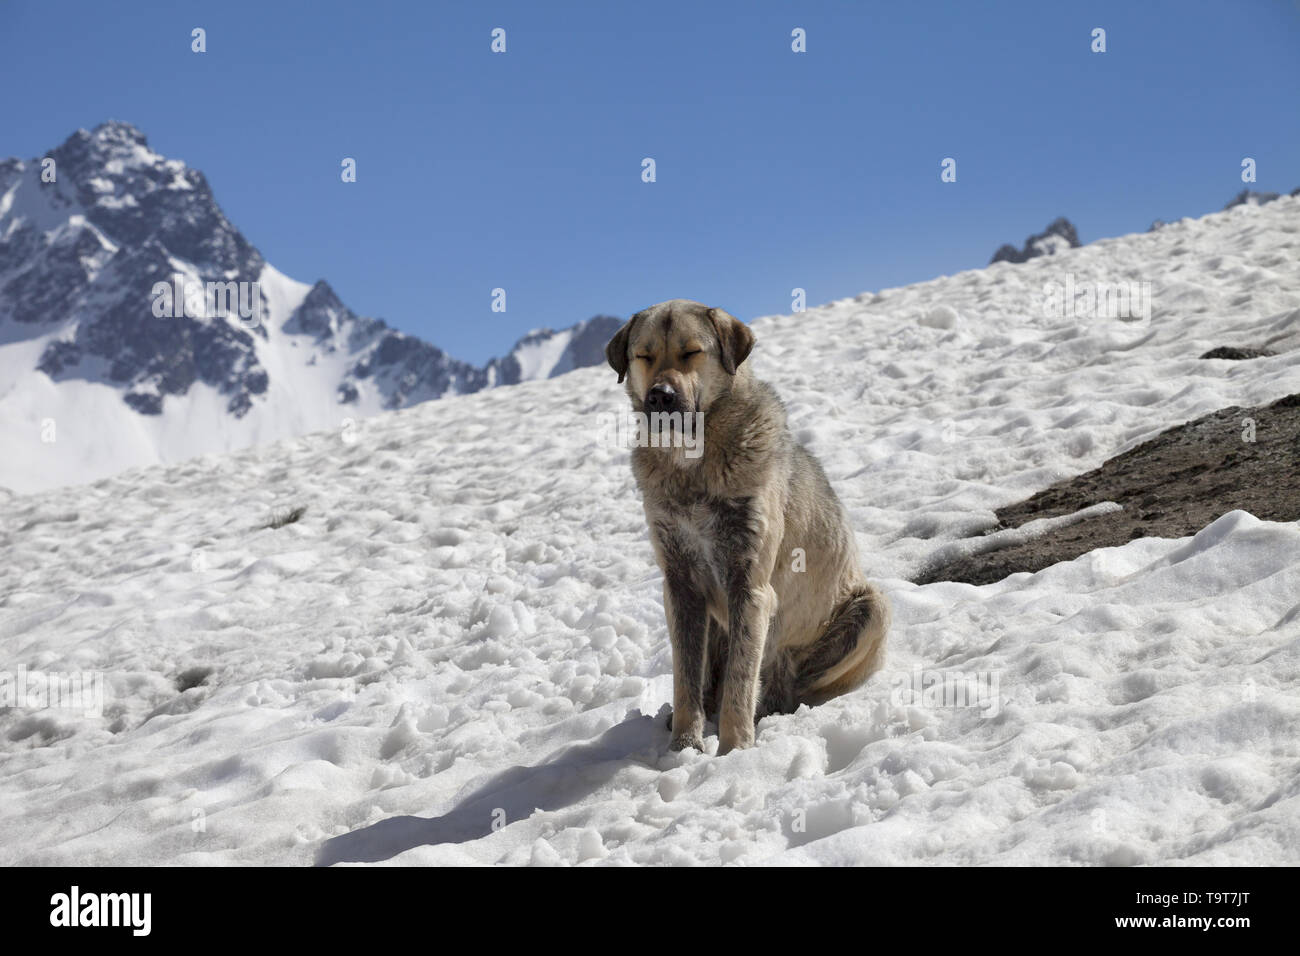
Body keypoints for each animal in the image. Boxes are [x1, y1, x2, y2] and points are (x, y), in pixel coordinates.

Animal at [603, 299, 889, 754]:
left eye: (691, 351)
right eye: (644, 356)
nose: (660, 396)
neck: (694, 459)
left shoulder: (750, 583)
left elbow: (740, 678)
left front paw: (735, 750)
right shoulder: (679, 583)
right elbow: (686, 673)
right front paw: (684, 747)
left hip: (872, 609)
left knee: (787, 682)